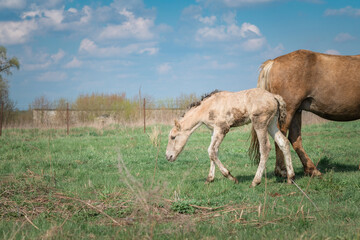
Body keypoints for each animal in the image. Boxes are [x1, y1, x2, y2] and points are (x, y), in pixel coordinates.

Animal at [166, 88, 296, 188]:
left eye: (173, 137)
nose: (168, 156)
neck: (208, 107)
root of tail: (274, 96)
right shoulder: (214, 131)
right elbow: (213, 152)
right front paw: (209, 179)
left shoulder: (222, 128)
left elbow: (211, 150)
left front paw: (231, 177)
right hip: (271, 124)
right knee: (284, 143)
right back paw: (290, 178)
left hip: (260, 123)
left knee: (265, 148)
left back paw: (255, 181)